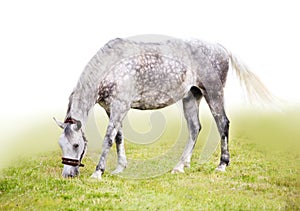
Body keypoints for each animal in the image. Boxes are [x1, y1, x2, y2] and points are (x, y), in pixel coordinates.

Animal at [54, 36, 272, 178]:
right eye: (61, 145)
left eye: (76, 145)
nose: (67, 175)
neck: (112, 67)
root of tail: (221, 48)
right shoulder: (111, 108)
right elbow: (118, 137)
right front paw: (119, 168)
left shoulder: (119, 106)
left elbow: (108, 138)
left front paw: (98, 172)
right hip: (191, 97)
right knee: (195, 128)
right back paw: (180, 166)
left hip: (214, 94)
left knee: (223, 124)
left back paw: (222, 165)